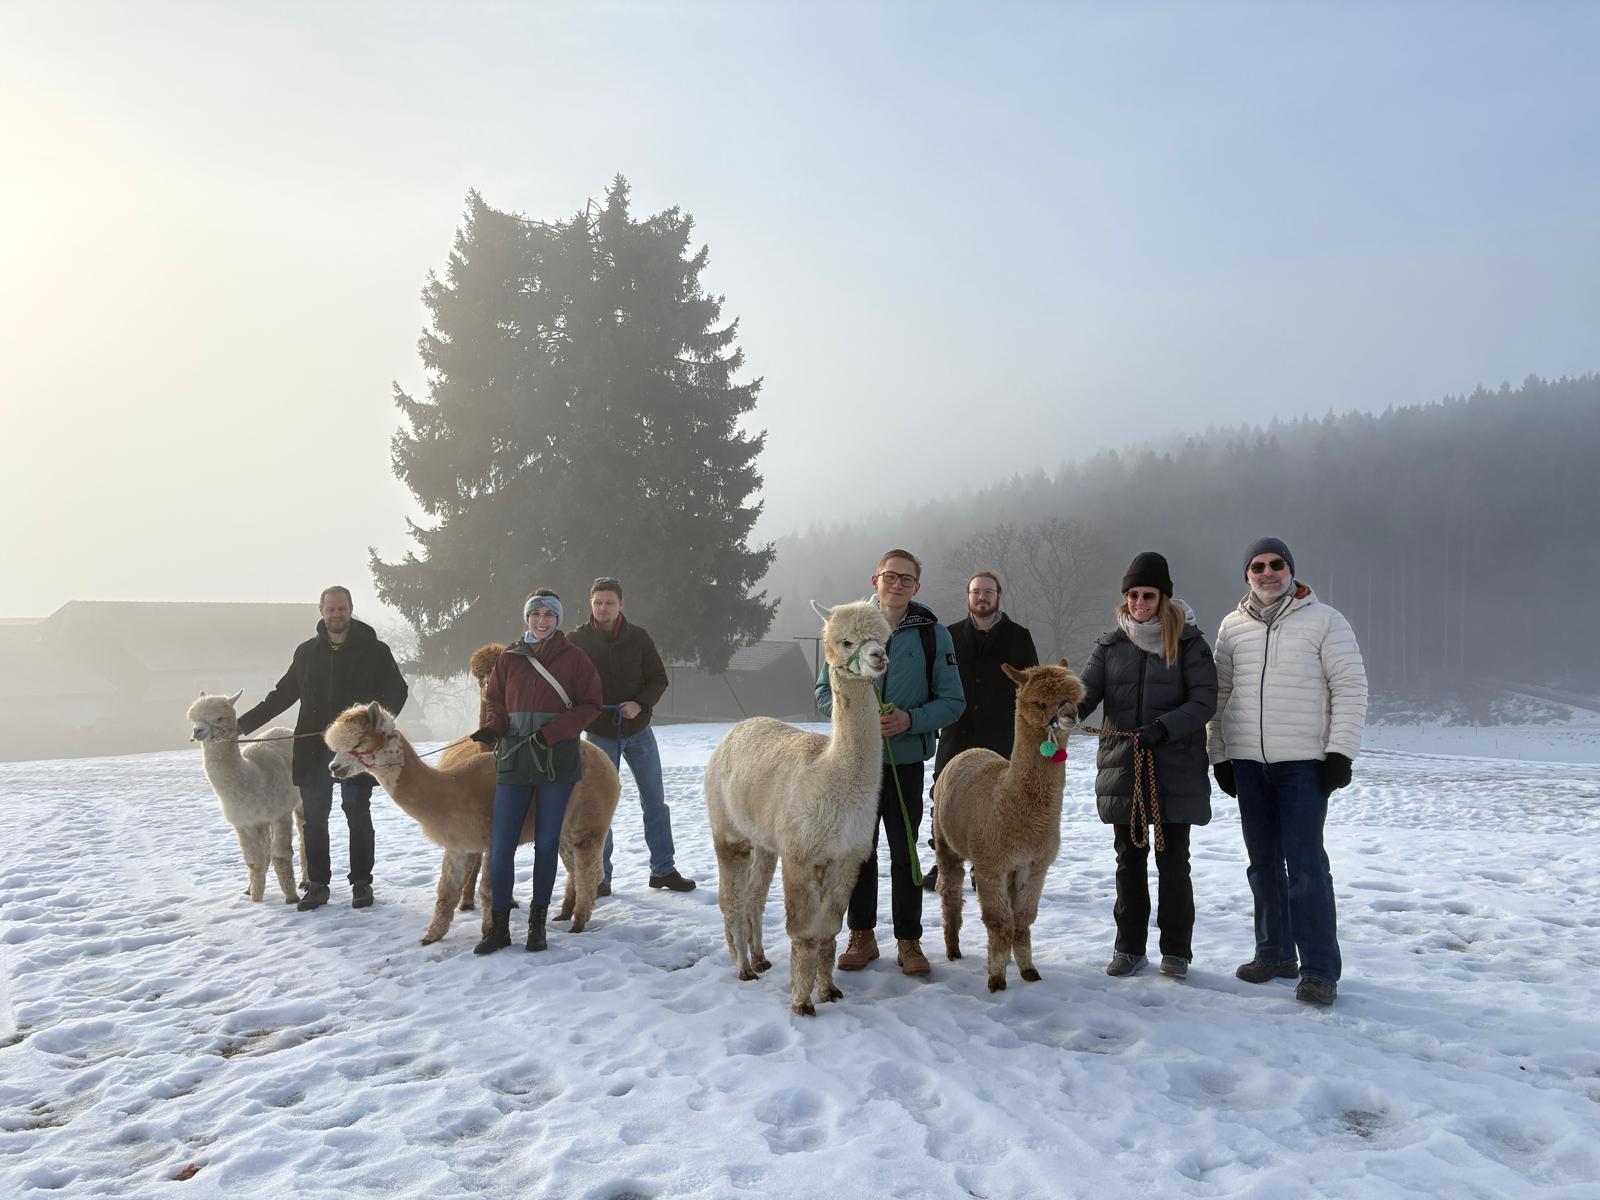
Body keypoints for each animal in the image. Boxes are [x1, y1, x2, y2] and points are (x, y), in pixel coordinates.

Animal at [187, 691, 306, 903]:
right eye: (194, 718)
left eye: (219, 717)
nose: (197, 731)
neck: (254, 776)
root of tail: (286, 729)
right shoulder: (244, 822)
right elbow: (253, 861)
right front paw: (256, 899)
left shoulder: (280, 813)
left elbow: (281, 855)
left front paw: (291, 897)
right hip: (262, 821)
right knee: (265, 850)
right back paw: (251, 888)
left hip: (298, 801)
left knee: (303, 835)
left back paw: (306, 882)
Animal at [323, 699, 620, 945]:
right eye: (336, 748)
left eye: (357, 743)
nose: (334, 768)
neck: (451, 790)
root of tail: (604, 758)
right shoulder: (458, 846)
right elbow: (446, 892)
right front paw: (431, 937)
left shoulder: (493, 839)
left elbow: (488, 889)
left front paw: (489, 933)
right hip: (564, 829)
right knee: (575, 868)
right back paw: (566, 913)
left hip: (589, 821)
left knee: (589, 870)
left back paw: (579, 921)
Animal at [703, 600, 891, 1015]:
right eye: (845, 640)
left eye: (884, 636)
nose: (878, 657)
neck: (831, 774)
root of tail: (737, 728)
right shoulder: (800, 854)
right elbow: (803, 932)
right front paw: (801, 1002)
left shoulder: (843, 857)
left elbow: (829, 931)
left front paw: (829, 990)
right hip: (728, 831)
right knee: (731, 899)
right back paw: (742, 967)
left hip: (764, 842)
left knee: (754, 896)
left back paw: (758, 958)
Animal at [931, 660, 1087, 992]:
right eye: (1039, 702)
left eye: (1074, 698)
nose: (1070, 716)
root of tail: (970, 750)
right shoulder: (992, 865)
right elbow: (999, 921)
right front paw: (996, 978)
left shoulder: (1033, 865)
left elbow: (1023, 918)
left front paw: (1028, 970)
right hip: (945, 840)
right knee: (950, 890)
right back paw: (953, 948)